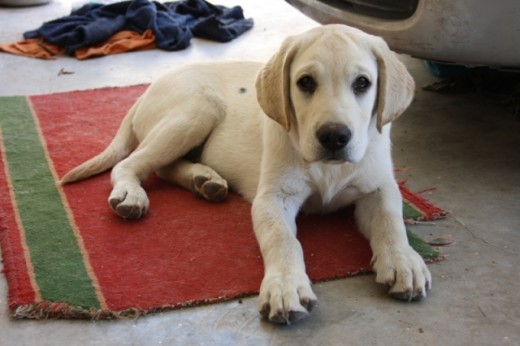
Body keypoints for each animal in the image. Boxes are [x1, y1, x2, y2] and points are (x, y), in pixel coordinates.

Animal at [62, 24, 430, 324]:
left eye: (363, 83)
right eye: (305, 82)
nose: (334, 137)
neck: (328, 169)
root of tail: (147, 89)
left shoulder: (379, 187)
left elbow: (391, 221)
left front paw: (403, 261)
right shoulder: (273, 199)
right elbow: (283, 240)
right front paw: (285, 286)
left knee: (164, 167)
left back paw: (204, 180)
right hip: (197, 109)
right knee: (132, 164)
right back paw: (132, 194)